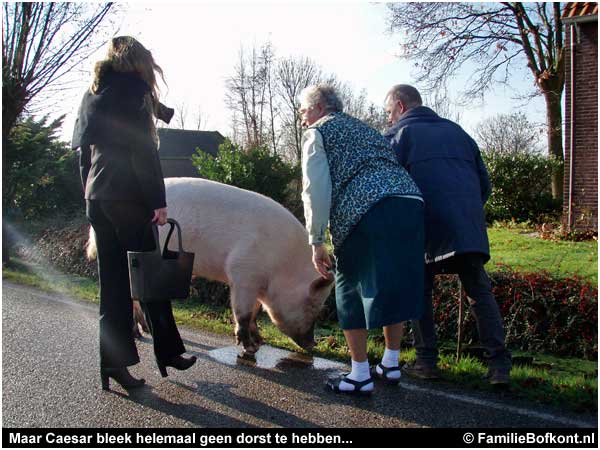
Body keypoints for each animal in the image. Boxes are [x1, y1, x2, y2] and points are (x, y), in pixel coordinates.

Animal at [162, 178, 336, 354]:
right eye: (312, 306)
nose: (313, 345)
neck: (282, 266)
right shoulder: (243, 274)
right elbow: (243, 314)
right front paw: (251, 348)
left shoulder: (256, 285)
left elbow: (254, 313)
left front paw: (259, 342)